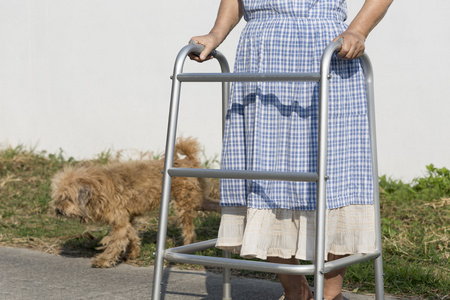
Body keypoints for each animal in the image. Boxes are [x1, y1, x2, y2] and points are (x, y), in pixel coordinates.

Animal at [51, 137, 220, 268]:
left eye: (67, 198)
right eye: (58, 197)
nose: (58, 210)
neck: (98, 189)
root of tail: (189, 160)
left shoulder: (119, 221)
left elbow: (116, 242)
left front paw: (104, 260)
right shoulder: (127, 218)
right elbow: (131, 235)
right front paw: (132, 253)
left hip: (184, 204)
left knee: (189, 230)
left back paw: (187, 245)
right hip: (197, 200)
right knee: (212, 204)